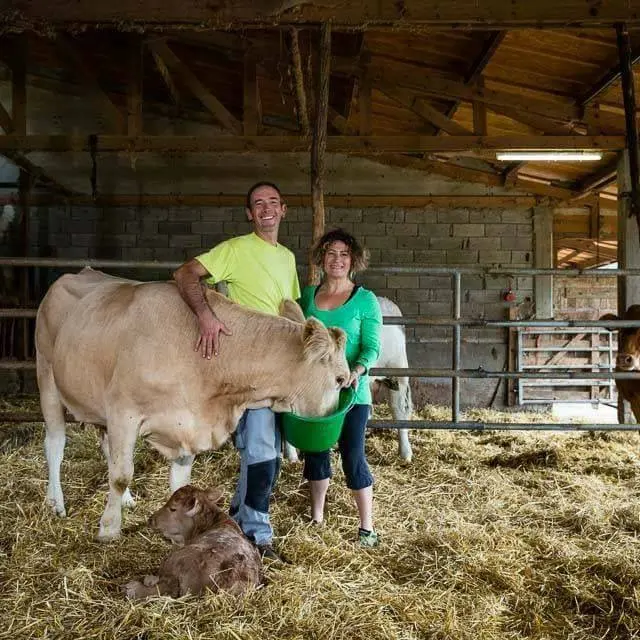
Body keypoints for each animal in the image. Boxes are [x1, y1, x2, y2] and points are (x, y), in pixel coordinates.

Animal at [36, 268, 350, 540]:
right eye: (340, 379)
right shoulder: (123, 412)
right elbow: (121, 474)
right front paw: (109, 529)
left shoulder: (186, 423)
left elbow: (177, 481)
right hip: (47, 377)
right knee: (56, 445)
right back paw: (56, 502)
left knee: (106, 447)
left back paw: (124, 501)